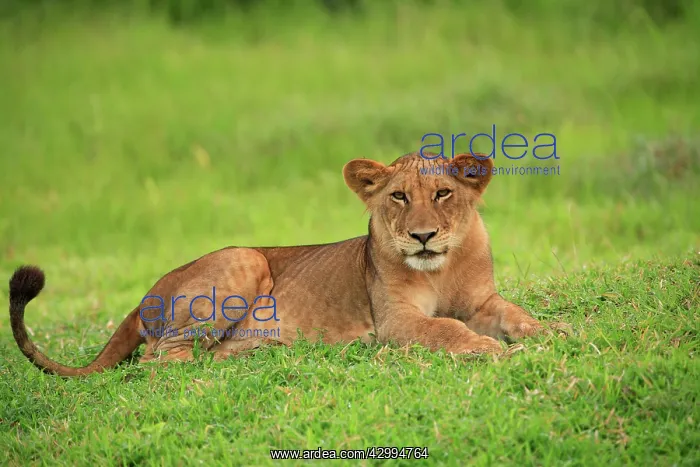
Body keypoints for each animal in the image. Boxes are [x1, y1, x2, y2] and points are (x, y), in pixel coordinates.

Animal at [8, 152, 551, 377]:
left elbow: (516, 314)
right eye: (399, 197)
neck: (440, 268)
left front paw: (553, 334)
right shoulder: (396, 321)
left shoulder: (482, 300)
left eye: (442, 194)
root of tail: (148, 292)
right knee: (160, 357)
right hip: (243, 259)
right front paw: (486, 348)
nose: (422, 236)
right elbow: (446, 329)